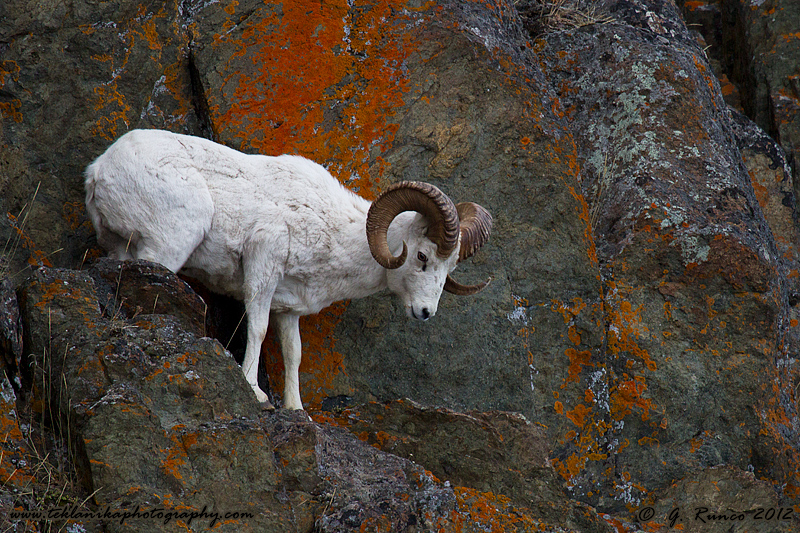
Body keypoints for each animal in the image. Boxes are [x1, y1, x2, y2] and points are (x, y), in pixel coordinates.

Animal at [84, 129, 492, 410]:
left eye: (450, 266)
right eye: (422, 256)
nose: (425, 312)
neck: (334, 232)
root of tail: (99, 170)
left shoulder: (289, 308)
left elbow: (292, 353)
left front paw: (296, 410)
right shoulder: (263, 264)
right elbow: (258, 329)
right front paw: (256, 393)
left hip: (122, 246)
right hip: (169, 244)